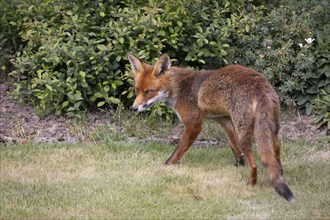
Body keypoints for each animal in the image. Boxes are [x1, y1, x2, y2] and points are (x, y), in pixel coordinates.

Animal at [127, 52, 296, 202]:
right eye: (136, 90)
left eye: (149, 91)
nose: (134, 108)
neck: (178, 87)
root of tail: (260, 82)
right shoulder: (224, 120)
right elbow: (234, 146)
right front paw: (238, 163)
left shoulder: (193, 125)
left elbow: (177, 151)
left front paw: (166, 166)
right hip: (270, 129)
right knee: (275, 152)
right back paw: (279, 175)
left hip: (245, 131)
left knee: (254, 163)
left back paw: (251, 183)